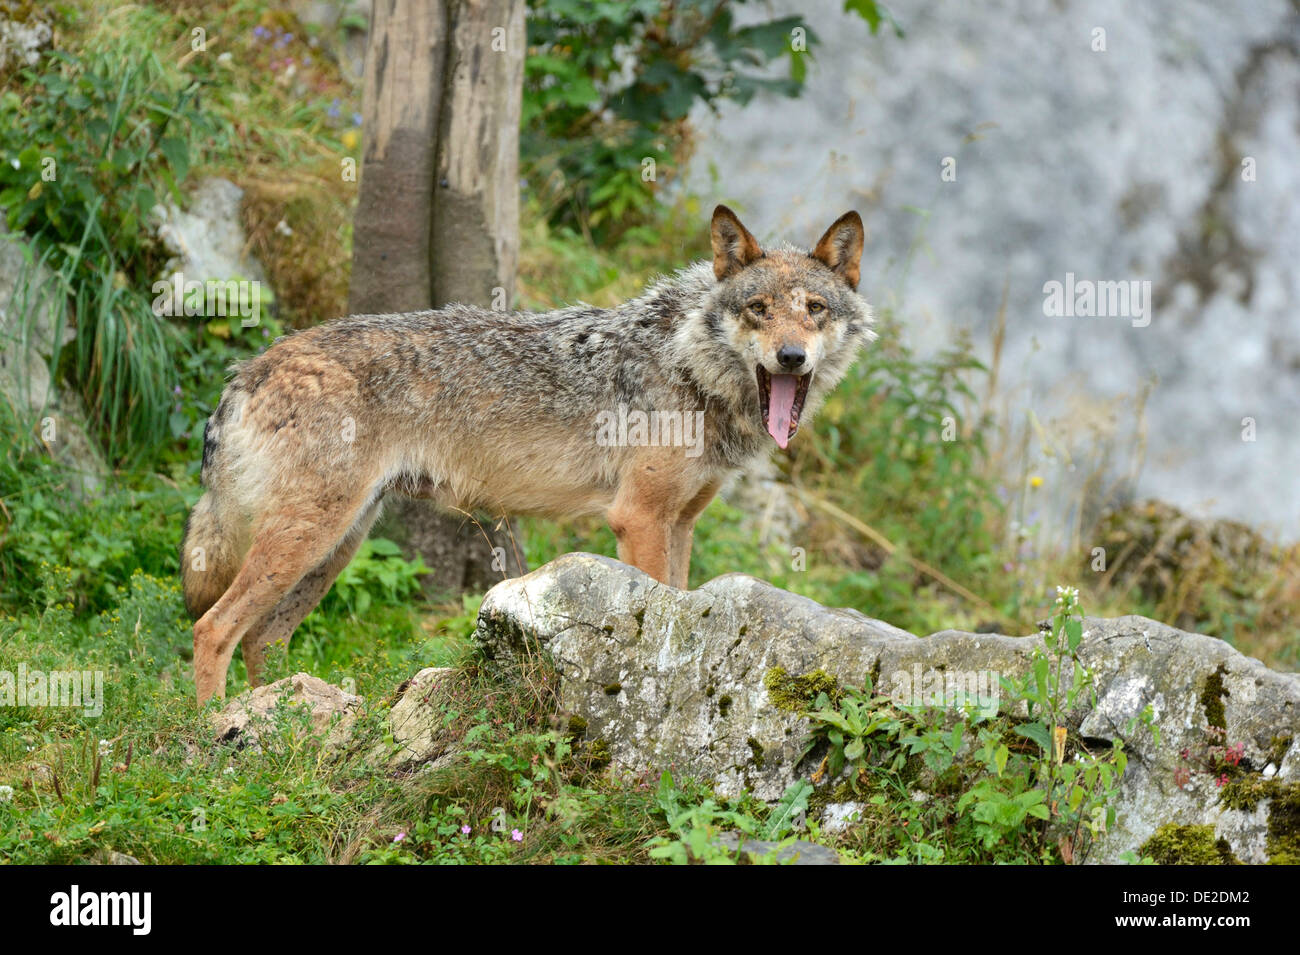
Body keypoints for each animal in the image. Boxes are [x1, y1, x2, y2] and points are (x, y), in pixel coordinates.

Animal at [183, 207, 873, 701]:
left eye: (814, 310)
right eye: (758, 309)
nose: (791, 357)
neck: (688, 366)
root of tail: (249, 369)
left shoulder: (680, 523)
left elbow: (681, 610)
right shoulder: (639, 519)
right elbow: (659, 621)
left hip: (333, 547)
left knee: (260, 640)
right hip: (307, 538)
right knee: (212, 628)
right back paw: (217, 734)